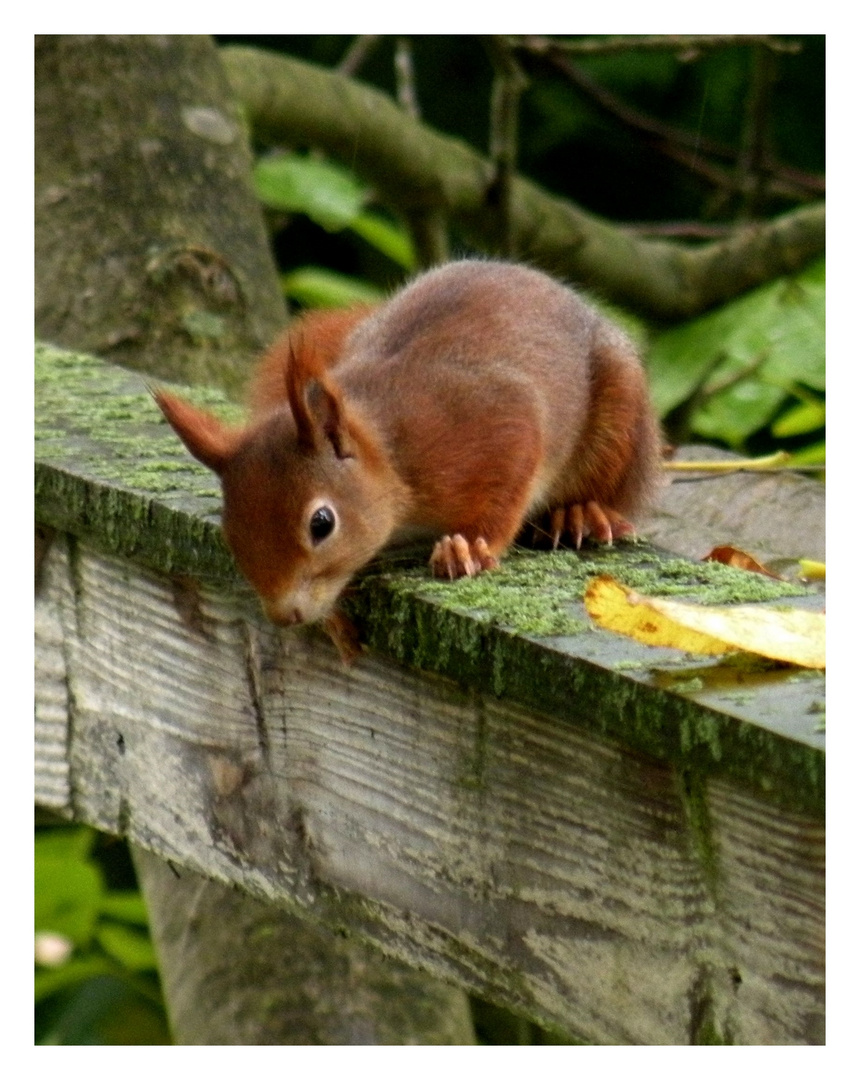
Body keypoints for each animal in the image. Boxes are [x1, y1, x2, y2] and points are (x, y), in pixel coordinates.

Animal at [154, 260, 661, 630]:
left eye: (322, 523)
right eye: (230, 529)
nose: (285, 617)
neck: (392, 453)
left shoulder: (493, 423)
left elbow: (506, 490)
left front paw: (468, 548)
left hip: (621, 421)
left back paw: (580, 513)